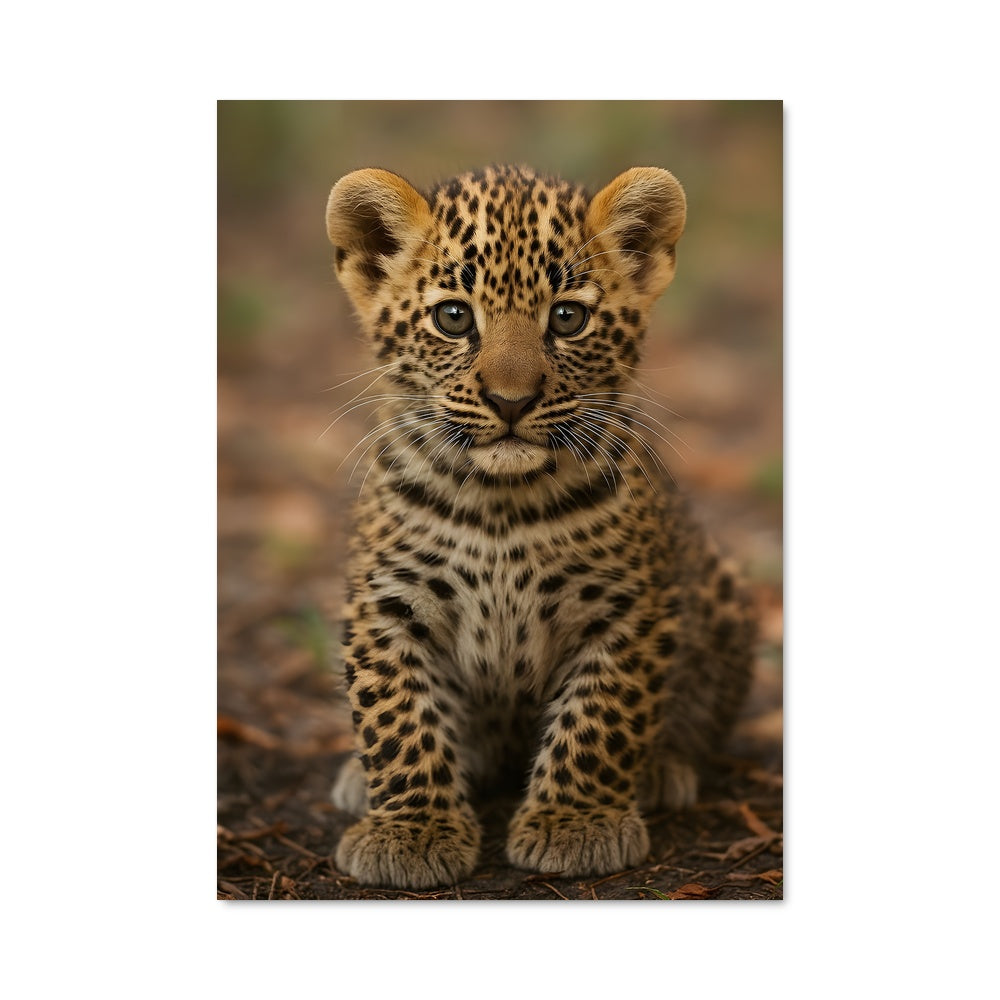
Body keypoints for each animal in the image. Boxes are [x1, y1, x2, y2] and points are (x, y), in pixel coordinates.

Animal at [324, 163, 756, 889]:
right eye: (453, 317)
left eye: (567, 316)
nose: (511, 401)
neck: (500, 502)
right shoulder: (386, 603)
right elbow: (397, 713)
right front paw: (410, 830)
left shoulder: (628, 606)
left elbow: (602, 715)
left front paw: (576, 823)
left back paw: (663, 770)